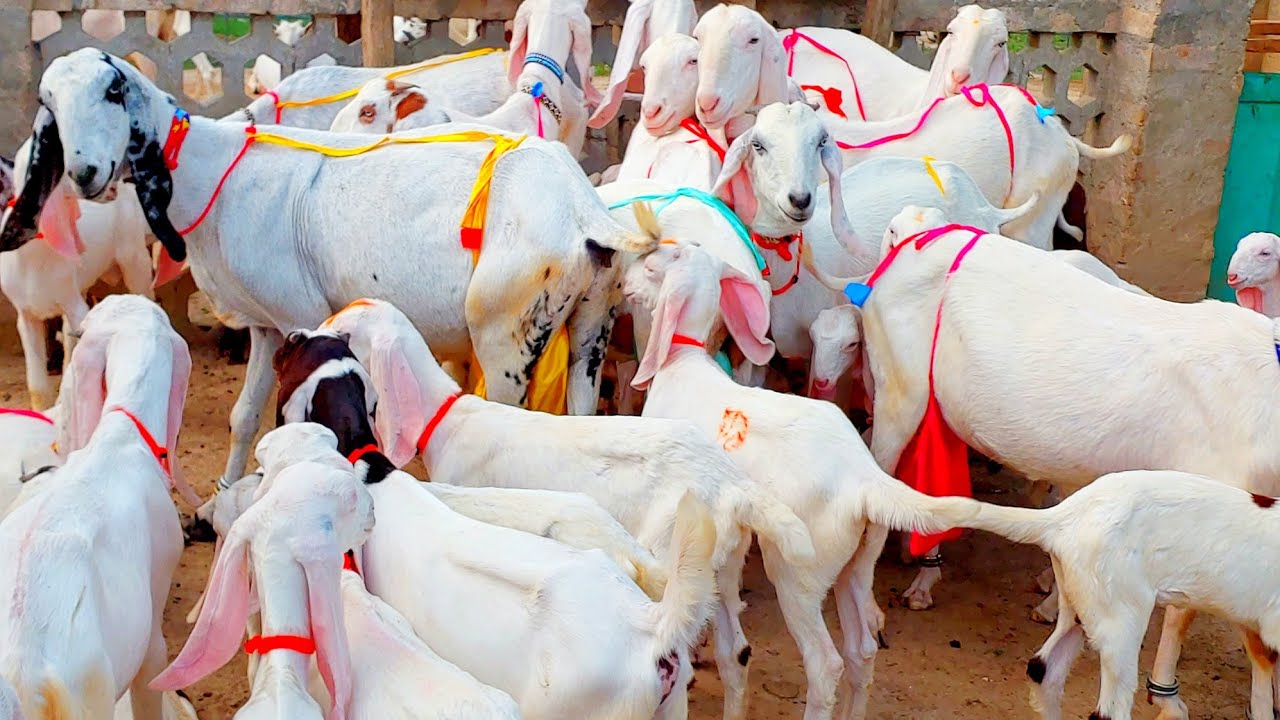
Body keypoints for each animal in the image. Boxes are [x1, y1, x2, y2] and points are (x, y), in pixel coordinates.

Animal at [2, 49, 652, 494]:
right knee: (583, 410)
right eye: (50, 103)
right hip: (591, 324)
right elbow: (242, 418)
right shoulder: (266, 326)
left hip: (505, 334)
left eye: (114, 90)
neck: (215, 173)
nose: (85, 173)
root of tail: (581, 208)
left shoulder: (304, 316)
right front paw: (221, 496)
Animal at [321, 297, 812, 720]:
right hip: (723, 568)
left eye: (345, 335)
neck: (451, 418)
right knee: (737, 653)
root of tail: (733, 485)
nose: (305, 334)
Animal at [624, 207, 961, 720]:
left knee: (825, 663)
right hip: (857, 561)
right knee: (862, 649)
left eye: (665, 262)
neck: (683, 361)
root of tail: (865, 480)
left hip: (800, 570)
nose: (623, 283)